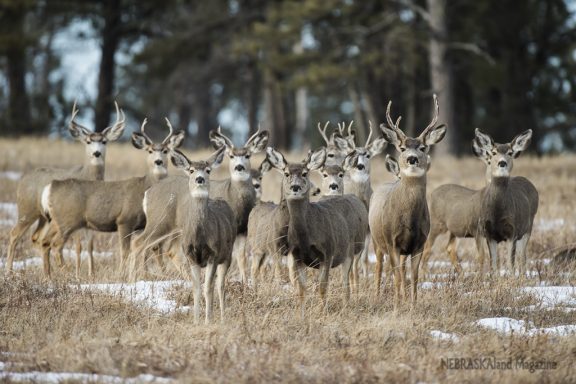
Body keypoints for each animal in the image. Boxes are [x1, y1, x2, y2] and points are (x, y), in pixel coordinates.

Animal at [5, 103, 125, 276]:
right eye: (88, 141)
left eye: (104, 141)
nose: (96, 153)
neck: (87, 176)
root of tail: (22, 180)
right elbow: (78, 246)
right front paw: (77, 274)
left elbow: (90, 246)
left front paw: (91, 274)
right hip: (27, 209)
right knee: (15, 234)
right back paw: (9, 271)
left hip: (45, 217)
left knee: (37, 237)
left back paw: (48, 272)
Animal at [40, 118, 183, 278]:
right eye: (150, 150)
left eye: (165, 150)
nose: (158, 162)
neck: (144, 187)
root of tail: (50, 187)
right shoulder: (124, 220)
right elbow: (125, 251)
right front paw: (122, 275)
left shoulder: (141, 225)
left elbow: (145, 250)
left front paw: (144, 275)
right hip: (67, 220)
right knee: (56, 244)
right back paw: (67, 274)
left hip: (56, 220)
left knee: (45, 242)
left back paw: (48, 276)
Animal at [166, 148, 236, 322]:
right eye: (191, 170)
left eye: (208, 170)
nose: (199, 179)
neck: (199, 238)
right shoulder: (190, 257)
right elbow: (196, 288)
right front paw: (196, 320)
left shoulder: (213, 255)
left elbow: (208, 288)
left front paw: (208, 320)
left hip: (227, 254)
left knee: (221, 285)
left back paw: (223, 318)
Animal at [372, 94, 448, 308]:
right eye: (402, 147)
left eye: (423, 147)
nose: (412, 158)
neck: (409, 219)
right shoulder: (392, 242)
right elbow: (398, 277)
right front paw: (398, 305)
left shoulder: (419, 242)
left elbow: (413, 277)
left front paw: (412, 304)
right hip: (376, 241)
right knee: (379, 268)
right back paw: (377, 296)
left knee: (402, 271)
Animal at [470, 129, 536, 276]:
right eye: (493, 153)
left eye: (510, 153)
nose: (502, 163)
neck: (497, 213)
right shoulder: (489, 233)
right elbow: (493, 263)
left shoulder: (513, 231)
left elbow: (510, 263)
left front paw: (511, 279)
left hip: (528, 228)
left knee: (522, 258)